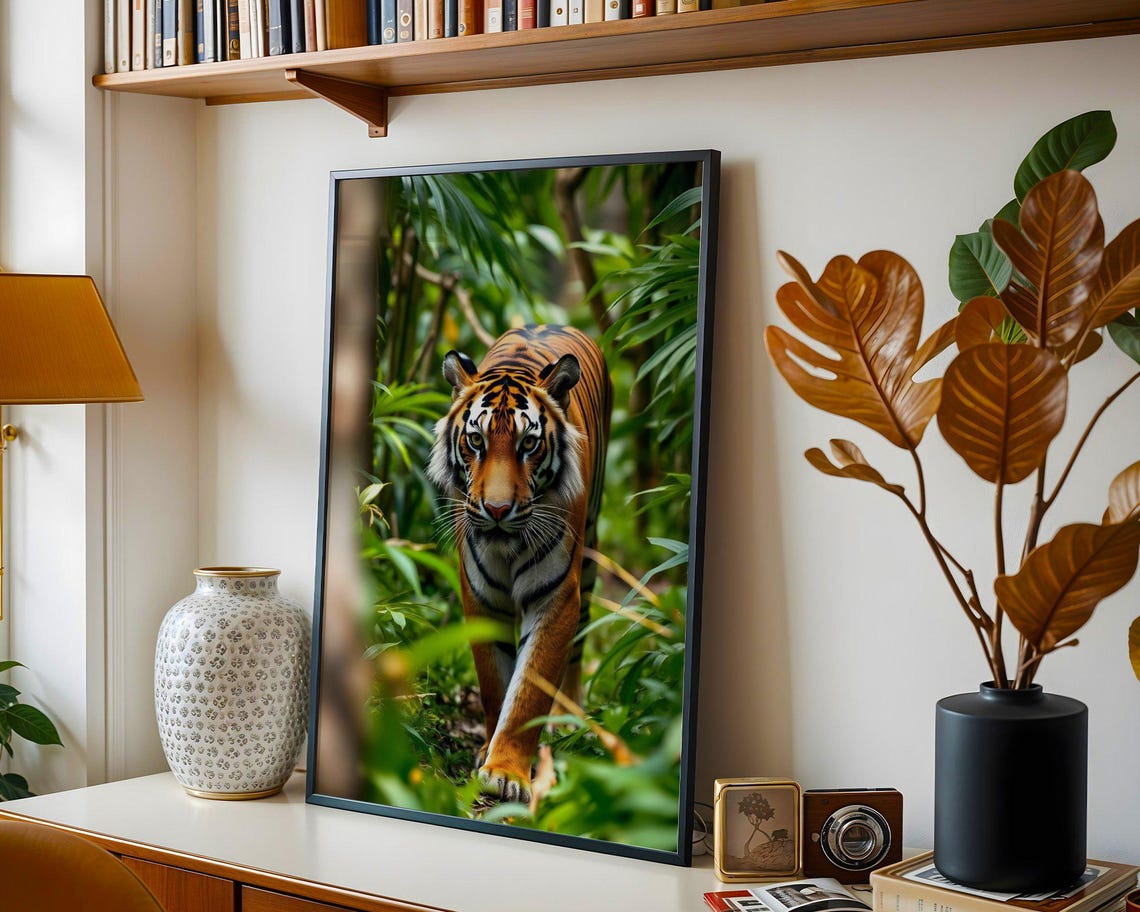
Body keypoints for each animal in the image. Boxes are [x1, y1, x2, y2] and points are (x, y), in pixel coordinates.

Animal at [427, 325, 613, 804]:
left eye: (528, 444)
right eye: (476, 440)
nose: (496, 510)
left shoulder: (557, 598)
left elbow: (529, 688)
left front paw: (507, 772)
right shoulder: (480, 596)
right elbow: (496, 682)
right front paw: (488, 756)